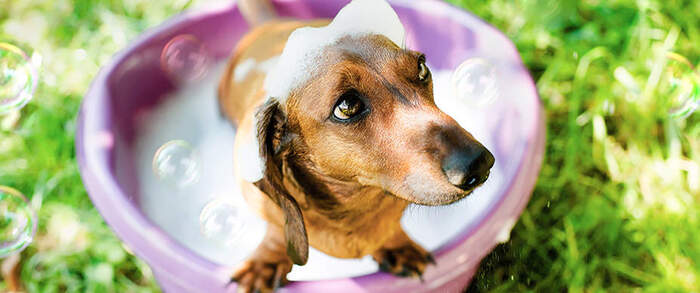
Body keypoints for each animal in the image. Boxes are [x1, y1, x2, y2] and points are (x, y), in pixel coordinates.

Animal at [219, 1, 492, 290]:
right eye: (347, 106)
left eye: (421, 67)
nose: (479, 163)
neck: (353, 203)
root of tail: (269, 23)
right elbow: (274, 230)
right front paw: (266, 262)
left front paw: (397, 245)